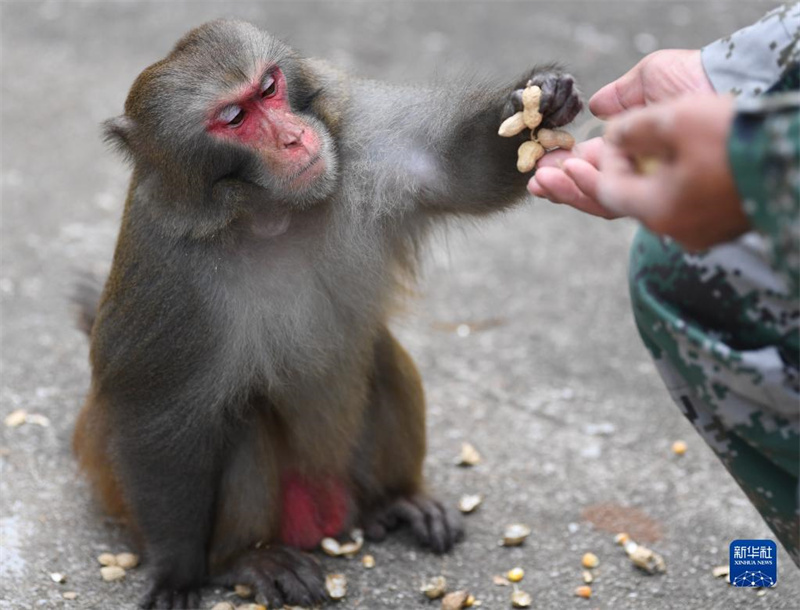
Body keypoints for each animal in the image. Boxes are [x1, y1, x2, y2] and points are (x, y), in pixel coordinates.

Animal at [73, 19, 580, 608]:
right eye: (235, 118)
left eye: (269, 88)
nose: (293, 138)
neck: (272, 213)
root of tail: (330, 517)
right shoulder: (167, 268)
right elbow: (155, 418)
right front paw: (178, 571)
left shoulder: (363, 144)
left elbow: (458, 172)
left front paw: (539, 100)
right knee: (239, 419)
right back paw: (245, 558)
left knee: (378, 355)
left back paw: (394, 500)